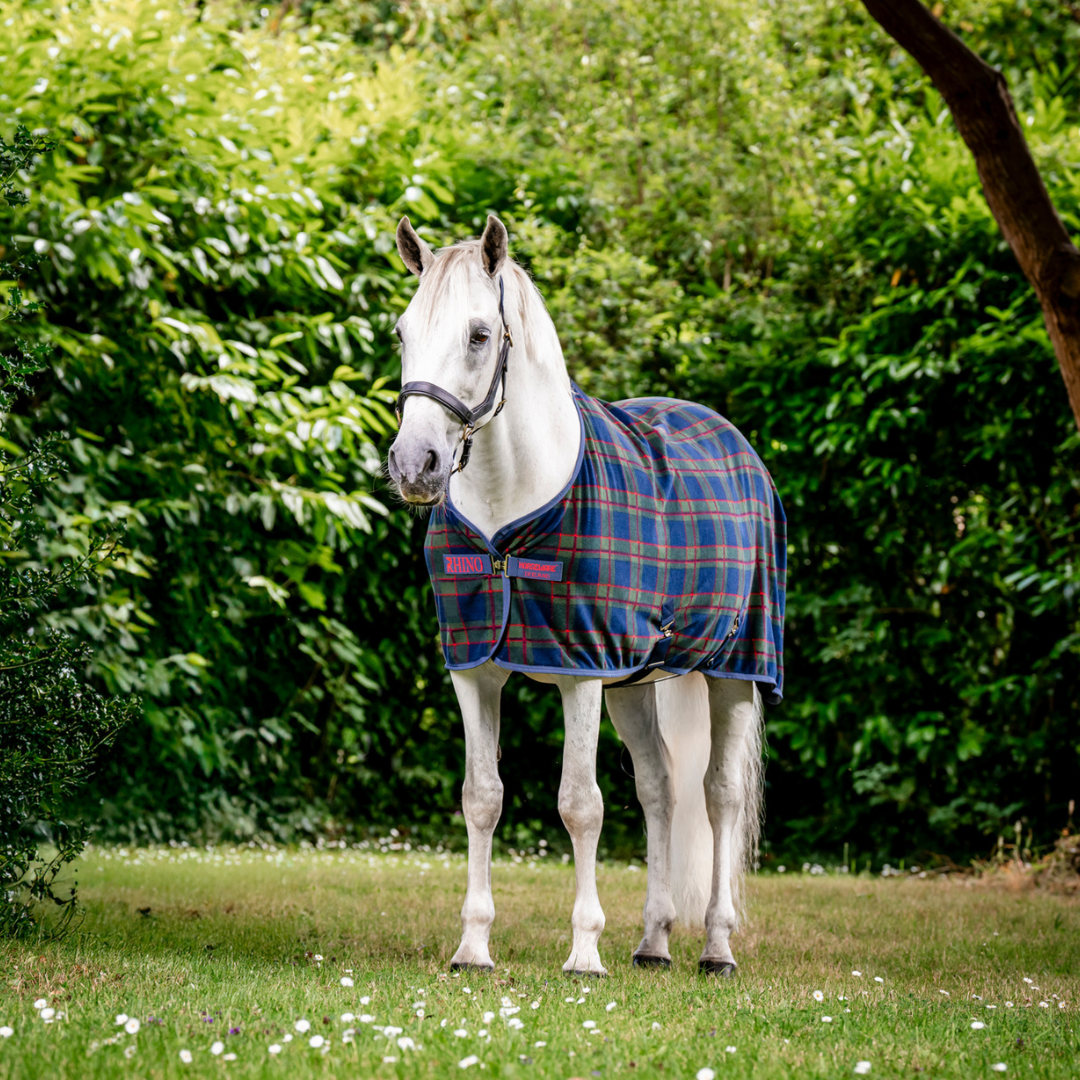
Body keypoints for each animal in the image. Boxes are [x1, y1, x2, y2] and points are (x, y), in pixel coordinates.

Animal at [386, 214, 786, 976]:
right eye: (402, 333)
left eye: (479, 334)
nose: (415, 464)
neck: (510, 513)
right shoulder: (476, 671)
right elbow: (482, 798)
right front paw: (473, 946)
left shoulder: (581, 673)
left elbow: (580, 804)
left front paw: (583, 952)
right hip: (632, 682)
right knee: (660, 788)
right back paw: (654, 941)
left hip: (735, 671)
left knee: (718, 795)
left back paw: (716, 946)